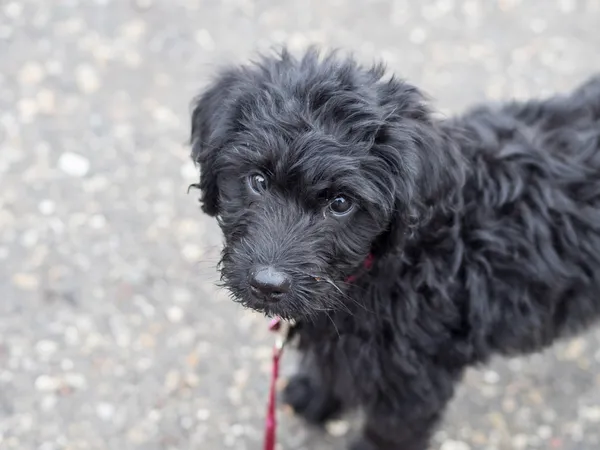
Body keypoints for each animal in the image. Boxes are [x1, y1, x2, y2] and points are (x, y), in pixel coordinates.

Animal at [190, 47, 600, 448]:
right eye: (257, 180)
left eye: (341, 203)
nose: (267, 284)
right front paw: (316, 396)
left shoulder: (415, 381)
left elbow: (388, 432)